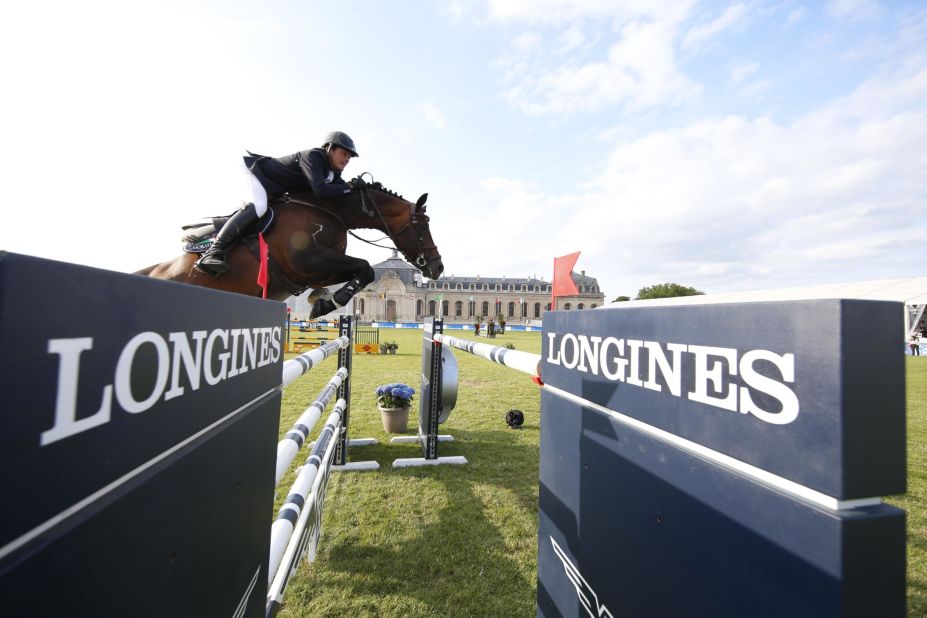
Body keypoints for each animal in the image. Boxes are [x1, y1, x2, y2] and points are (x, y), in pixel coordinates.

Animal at [133, 176, 446, 316]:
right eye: (423, 225)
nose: (437, 267)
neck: (327, 209)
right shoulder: (306, 262)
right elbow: (366, 268)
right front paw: (327, 303)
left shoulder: (318, 268)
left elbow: (359, 272)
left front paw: (321, 299)